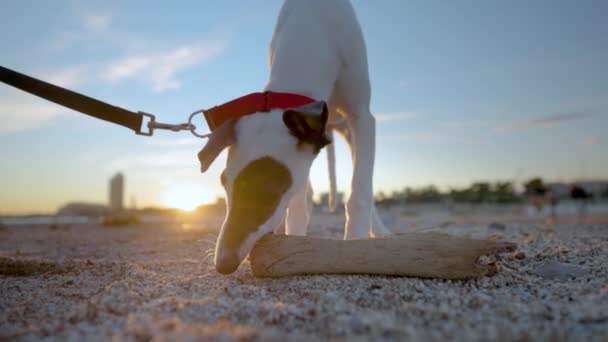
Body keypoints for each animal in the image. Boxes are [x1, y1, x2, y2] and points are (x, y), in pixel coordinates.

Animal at [197, 0, 392, 274]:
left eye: (271, 188)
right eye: (224, 182)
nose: (223, 264)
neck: (313, 23)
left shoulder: (362, 115)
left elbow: (359, 194)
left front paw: (354, 242)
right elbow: (300, 201)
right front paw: (293, 239)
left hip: (351, 130)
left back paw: (379, 230)